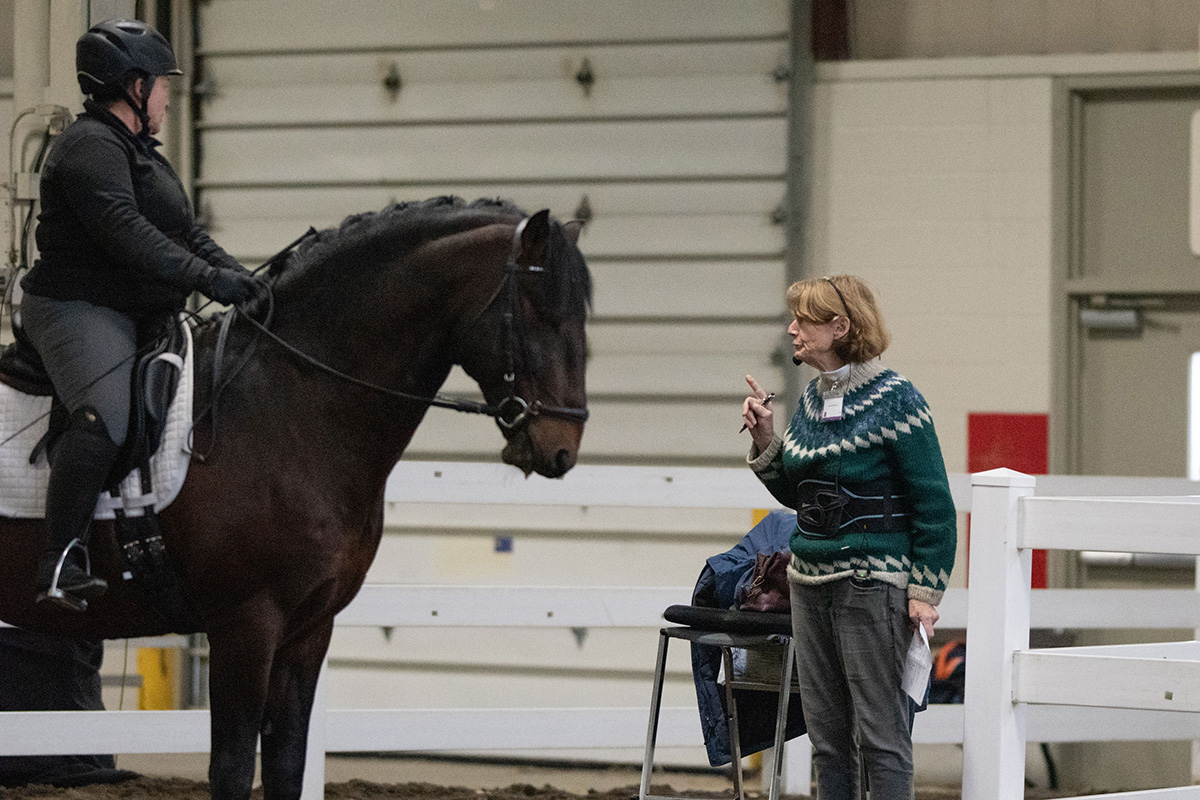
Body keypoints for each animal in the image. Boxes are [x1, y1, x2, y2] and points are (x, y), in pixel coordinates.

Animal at [0, 196, 592, 800]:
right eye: (539, 312)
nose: (562, 449)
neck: (288, 406)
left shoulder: (308, 629)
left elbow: (287, 762)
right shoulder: (246, 624)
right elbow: (234, 768)